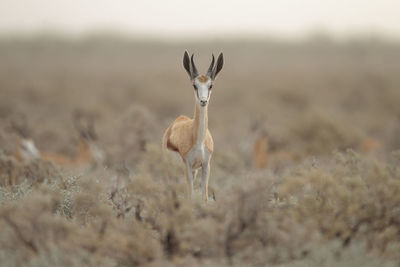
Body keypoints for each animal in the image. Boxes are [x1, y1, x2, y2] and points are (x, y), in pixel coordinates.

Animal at [163, 51, 225, 202]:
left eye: (210, 85)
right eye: (195, 85)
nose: (203, 101)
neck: (198, 141)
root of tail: (178, 120)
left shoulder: (205, 166)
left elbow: (205, 197)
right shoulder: (188, 165)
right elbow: (190, 196)